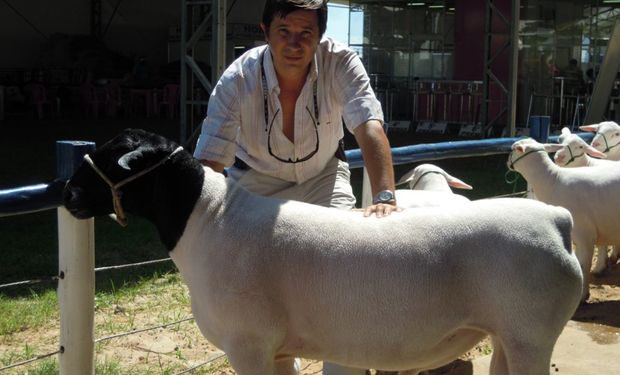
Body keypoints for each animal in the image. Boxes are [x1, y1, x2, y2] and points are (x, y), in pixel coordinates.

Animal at [65, 130, 584, 375]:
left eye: (115, 155)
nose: (68, 194)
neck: (209, 219)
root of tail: (556, 219)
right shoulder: (275, 350)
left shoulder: (248, 345)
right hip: (507, 336)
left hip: (532, 333)